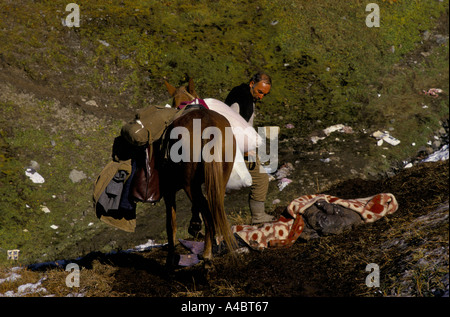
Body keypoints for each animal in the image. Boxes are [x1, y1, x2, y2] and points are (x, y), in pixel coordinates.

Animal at [159, 78, 237, 264]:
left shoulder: (169, 189)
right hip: (220, 179)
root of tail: (208, 125)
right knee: (214, 208)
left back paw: (207, 253)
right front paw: (194, 224)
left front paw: (171, 257)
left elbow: (170, 223)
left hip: (189, 185)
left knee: (207, 213)